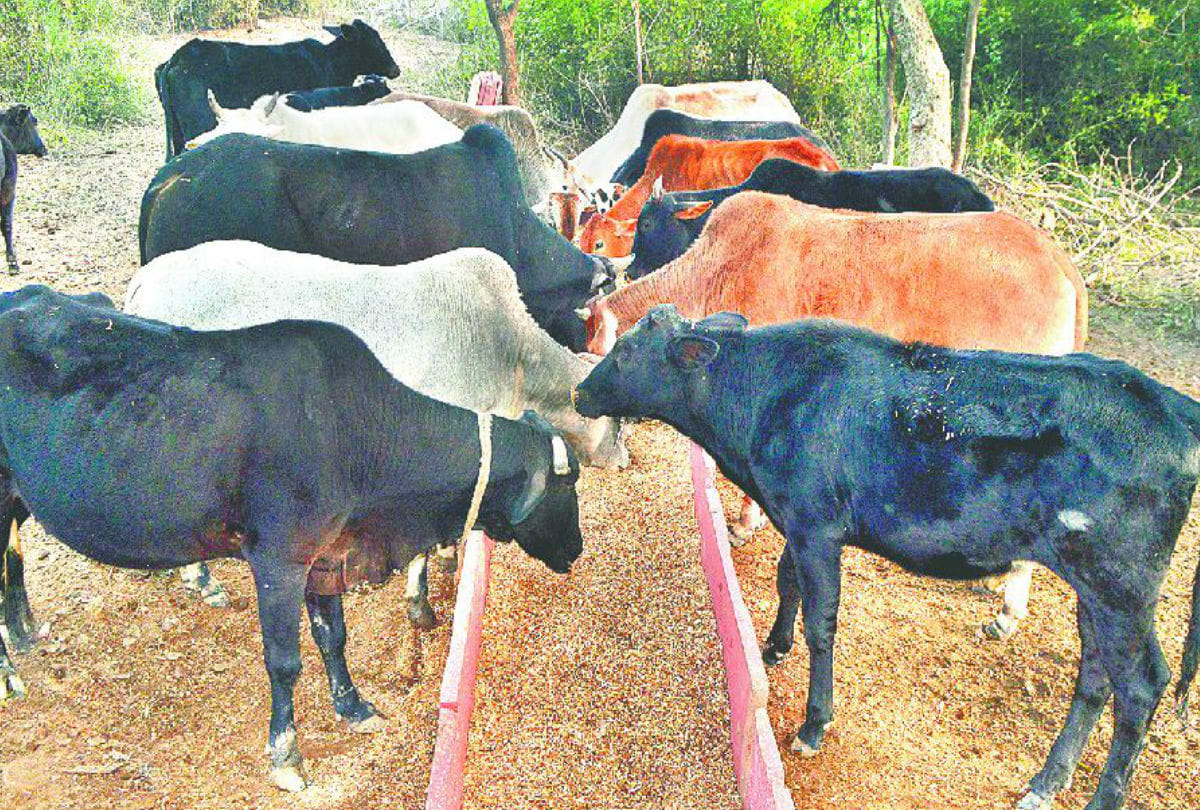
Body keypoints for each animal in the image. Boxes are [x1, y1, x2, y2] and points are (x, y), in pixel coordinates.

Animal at [0, 285, 583, 792]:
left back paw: (23, 636)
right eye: (569, 481)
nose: (576, 549)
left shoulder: (326, 556)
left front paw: (353, 707)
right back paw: (10, 674)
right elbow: (285, 661)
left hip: (16, 500)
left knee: (11, 560)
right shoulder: (279, 559)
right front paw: (286, 754)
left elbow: (333, 636)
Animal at [126, 243, 629, 618]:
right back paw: (202, 580)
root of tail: (143, 281)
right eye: (620, 423)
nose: (626, 460)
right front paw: (422, 599)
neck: (512, 356)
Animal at [574, 305, 1200, 810]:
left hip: (1121, 583)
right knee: (1095, 676)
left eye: (625, 352)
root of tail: (1168, 402)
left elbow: (822, 621)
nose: (580, 392)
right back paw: (1047, 781)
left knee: (1142, 685)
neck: (765, 400)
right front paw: (774, 646)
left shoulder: (817, 525)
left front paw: (814, 723)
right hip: (1094, 588)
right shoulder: (796, 518)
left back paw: (1100, 797)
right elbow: (785, 580)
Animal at [579, 191, 1088, 639]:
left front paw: (744, 523)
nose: (581, 401)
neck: (716, 268)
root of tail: (1055, 256)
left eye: (611, 358)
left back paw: (1008, 612)